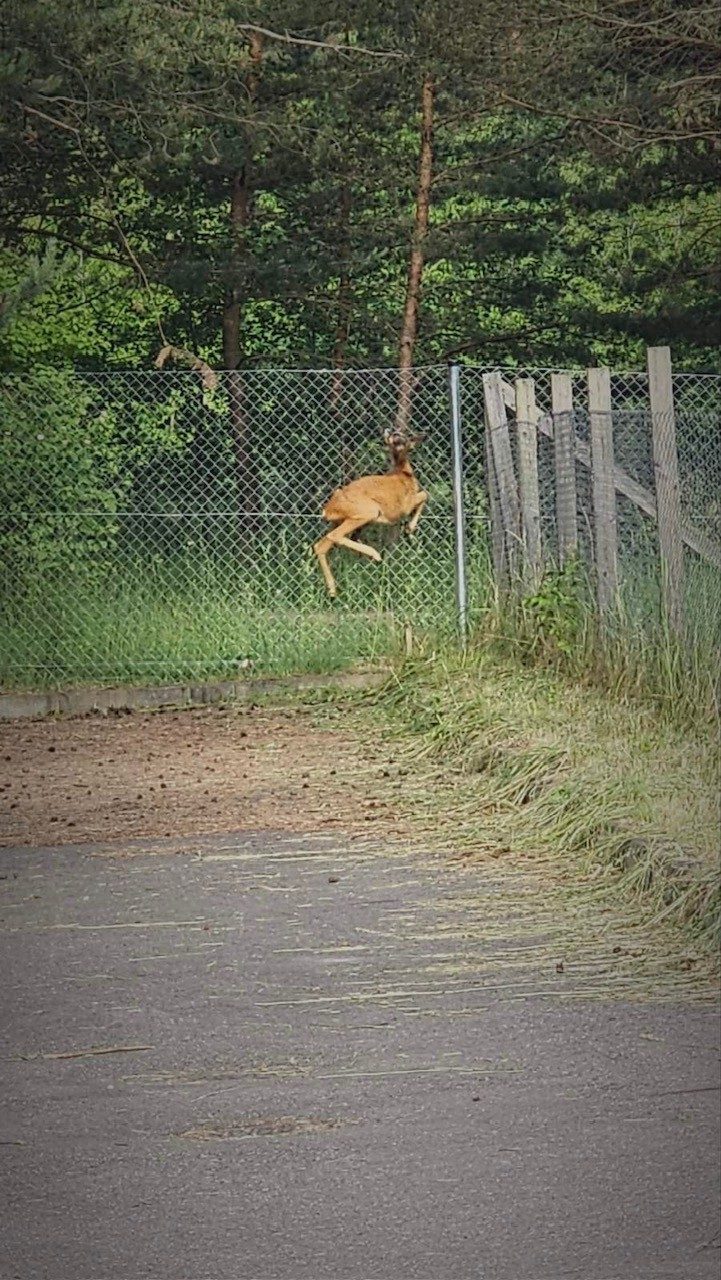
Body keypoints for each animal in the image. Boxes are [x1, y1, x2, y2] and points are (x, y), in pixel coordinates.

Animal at [311, 424, 425, 593]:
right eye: (400, 437)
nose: (392, 432)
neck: (403, 473)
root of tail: (327, 510)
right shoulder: (405, 505)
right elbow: (425, 494)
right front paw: (409, 528)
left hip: (339, 521)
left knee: (321, 545)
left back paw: (332, 589)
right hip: (366, 512)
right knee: (335, 536)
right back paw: (375, 555)